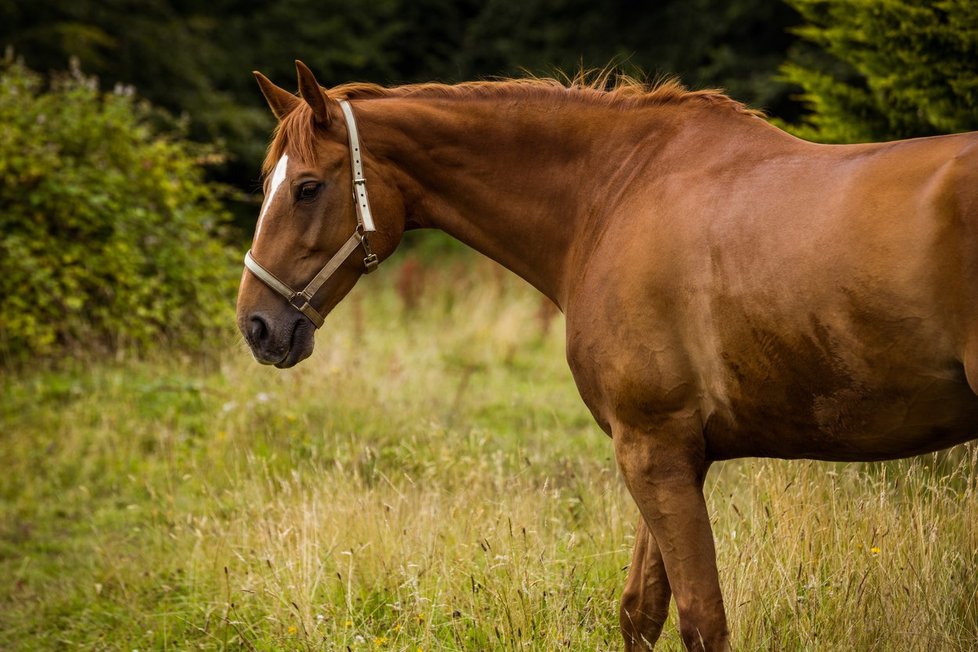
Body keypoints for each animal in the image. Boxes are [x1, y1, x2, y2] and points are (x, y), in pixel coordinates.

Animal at [236, 59, 976, 648]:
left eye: (307, 186)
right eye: (267, 182)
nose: (256, 325)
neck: (614, 195)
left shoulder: (652, 449)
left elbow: (701, 620)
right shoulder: (671, 451)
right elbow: (640, 612)